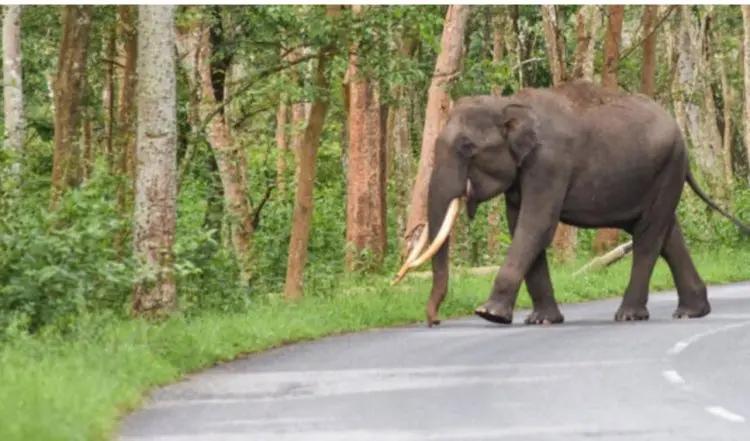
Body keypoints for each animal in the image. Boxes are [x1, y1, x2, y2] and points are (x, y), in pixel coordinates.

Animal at [394, 80, 750, 327]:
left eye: (467, 147)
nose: (434, 320)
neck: (509, 103)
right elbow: (521, 224)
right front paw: (541, 320)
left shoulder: (549, 163)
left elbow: (537, 225)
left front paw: (488, 313)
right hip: (659, 174)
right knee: (666, 232)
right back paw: (691, 312)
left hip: (668, 168)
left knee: (649, 236)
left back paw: (629, 315)